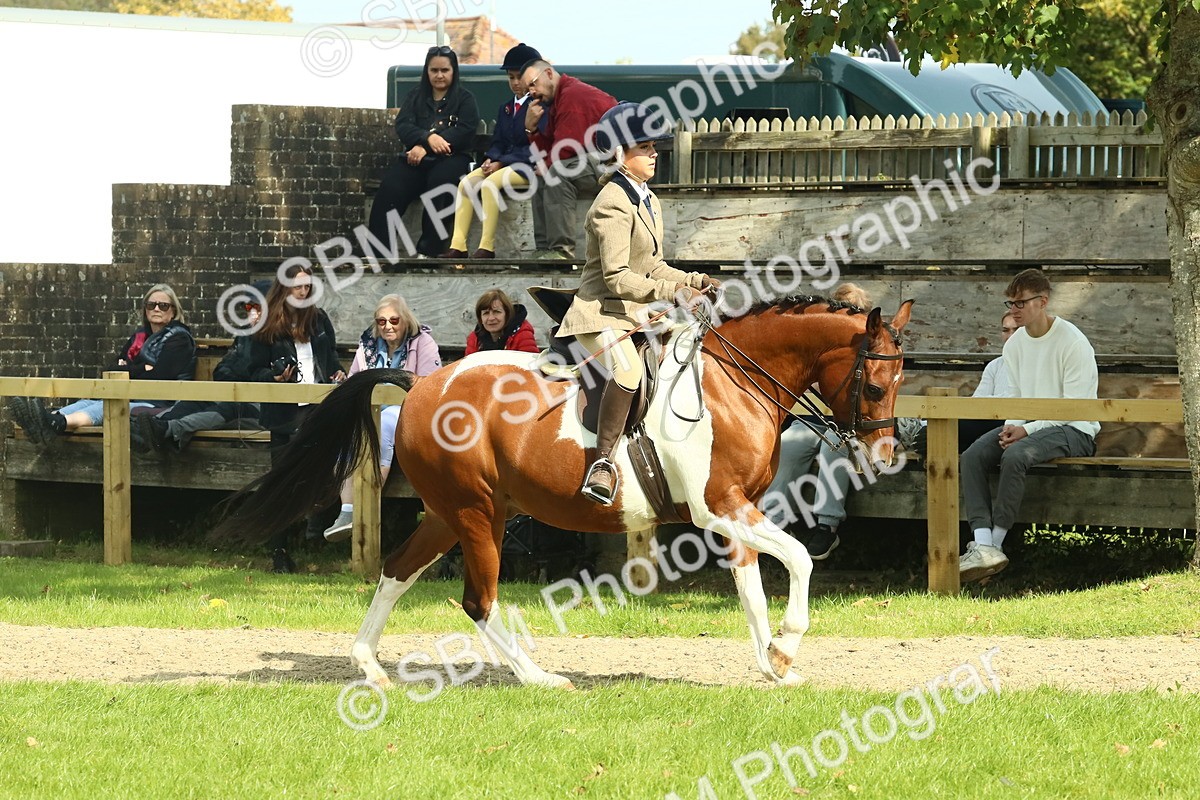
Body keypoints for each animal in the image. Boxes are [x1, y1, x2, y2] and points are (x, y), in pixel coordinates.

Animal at [216, 295, 913, 689]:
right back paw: (539, 676)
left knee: (397, 570)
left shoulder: (736, 512)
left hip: (452, 512)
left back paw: (369, 664)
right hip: (477, 514)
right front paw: (788, 645)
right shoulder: (719, 507)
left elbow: (752, 589)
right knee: (477, 599)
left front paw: (773, 664)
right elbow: (796, 559)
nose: (886, 457)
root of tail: (421, 386)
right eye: (876, 386)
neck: (733, 384)